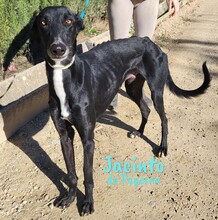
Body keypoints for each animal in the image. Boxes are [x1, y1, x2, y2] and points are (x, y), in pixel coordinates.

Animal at [29, 6, 210, 215]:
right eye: (43, 22)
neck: (65, 78)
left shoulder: (87, 138)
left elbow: (87, 174)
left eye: (68, 21)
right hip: (132, 87)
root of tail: (150, 43)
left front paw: (88, 203)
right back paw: (139, 132)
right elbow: (71, 172)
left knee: (163, 118)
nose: (58, 49)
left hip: (156, 90)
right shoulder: (64, 135)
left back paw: (163, 147)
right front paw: (69, 197)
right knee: (145, 109)